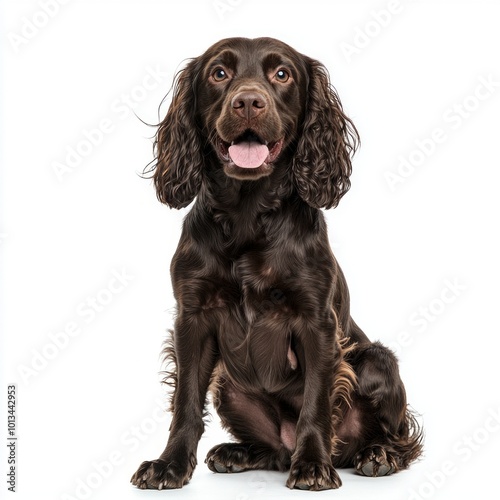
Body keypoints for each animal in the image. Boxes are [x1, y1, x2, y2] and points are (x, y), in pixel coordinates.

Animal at [130, 37, 422, 490]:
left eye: (282, 74)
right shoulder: (192, 317)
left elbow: (316, 403)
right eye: (219, 73)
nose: (248, 102)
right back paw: (238, 453)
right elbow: (185, 402)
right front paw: (170, 464)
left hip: (377, 361)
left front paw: (314, 465)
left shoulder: (316, 322)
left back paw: (378, 455)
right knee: (275, 452)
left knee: (399, 436)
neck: (248, 217)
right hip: (228, 385)